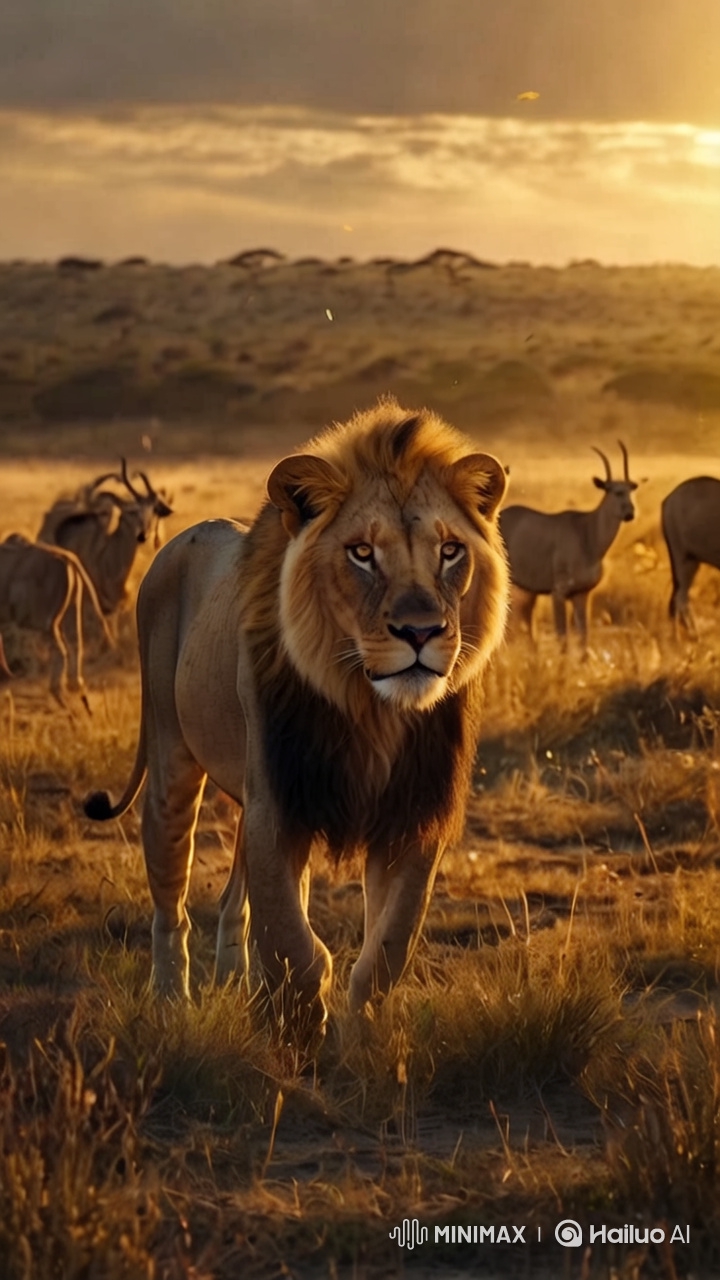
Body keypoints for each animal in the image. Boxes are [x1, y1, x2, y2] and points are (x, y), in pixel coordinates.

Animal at [84, 398, 509, 1032]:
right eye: (362, 553)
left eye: (450, 550)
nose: (420, 632)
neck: (370, 710)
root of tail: (179, 539)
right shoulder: (277, 808)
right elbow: (294, 945)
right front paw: (299, 1039)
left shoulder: (411, 816)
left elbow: (386, 950)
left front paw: (363, 1042)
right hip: (172, 764)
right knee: (171, 899)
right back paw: (171, 1002)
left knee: (233, 902)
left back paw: (234, 984)